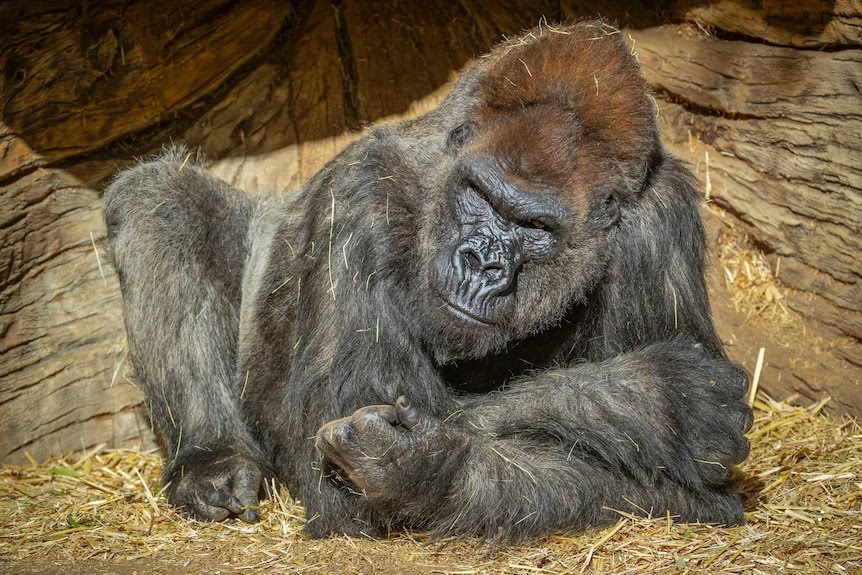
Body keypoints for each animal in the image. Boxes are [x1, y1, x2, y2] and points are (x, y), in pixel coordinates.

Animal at [103, 21, 756, 540]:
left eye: (533, 225)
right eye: (480, 196)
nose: (480, 262)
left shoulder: (659, 221)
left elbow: (688, 496)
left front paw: (420, 467)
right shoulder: (360, 196)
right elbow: (336, 467)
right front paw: (659, 398)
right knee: (161, 199)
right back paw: (211, 461)